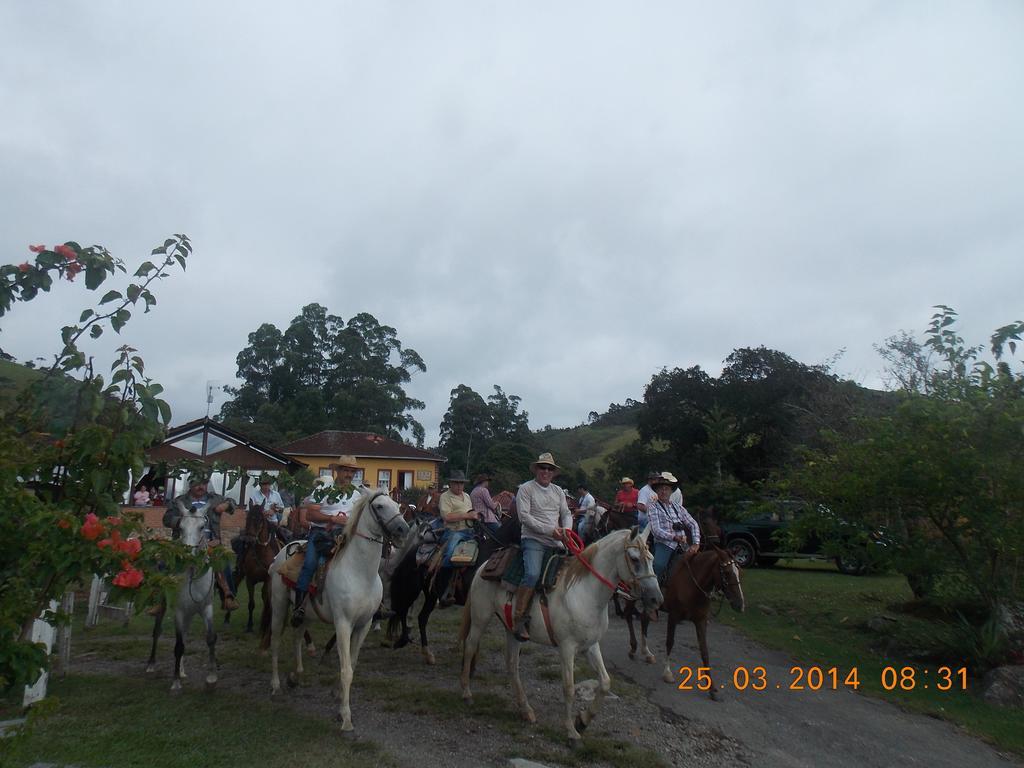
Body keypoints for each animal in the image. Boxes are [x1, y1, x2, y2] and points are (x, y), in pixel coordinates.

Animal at [268, 487, 407, 733]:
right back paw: (276, 685)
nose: (403, 529)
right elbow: (346, 669)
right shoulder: (343, 624)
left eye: (398, 505)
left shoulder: (364, 625)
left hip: (306, 613)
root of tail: (283, 549)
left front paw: (337, 693)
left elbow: (352, 662)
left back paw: (296, 675)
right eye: (379, 506)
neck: (360, 573)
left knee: (297, 637)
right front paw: (345, 717)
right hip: (278, 605)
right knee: (275, 641)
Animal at [460, 528, 659, 745]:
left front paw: (583, 721)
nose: (656, 598)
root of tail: (485, 565)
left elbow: (605, 682)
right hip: (480, 618)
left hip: (512, 631)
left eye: (651, 558)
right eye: (634, 558)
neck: (584, 592)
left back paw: (525, 710)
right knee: (470, 647)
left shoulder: (591, 645)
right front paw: (571, 731)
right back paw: (467, 694)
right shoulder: (567, 647)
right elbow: (569, 688)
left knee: (512, 665)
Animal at [622, 544, 745, 700]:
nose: (740, 604)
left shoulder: (701, 621)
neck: (692, 584)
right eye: (727, 572)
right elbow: (670, 642)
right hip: (631, 597)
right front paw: (667, 673)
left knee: (644, 619)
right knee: (628, 615)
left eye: (739, 571)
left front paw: (712, 688)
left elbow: (704, 651)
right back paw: (633, 649)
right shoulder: (673, 616)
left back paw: (647, 653)